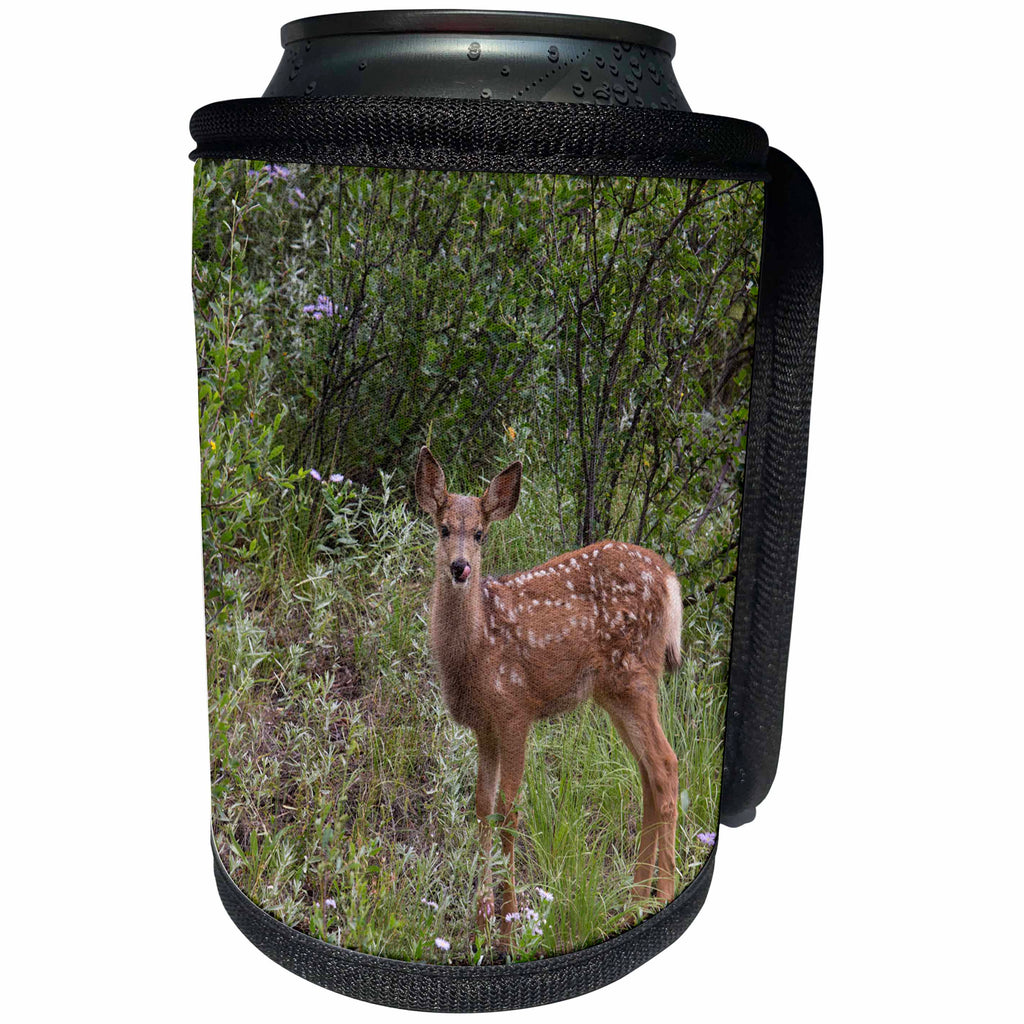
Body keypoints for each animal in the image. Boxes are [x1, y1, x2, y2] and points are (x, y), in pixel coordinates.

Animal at [415, 446, 682, 946]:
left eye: (479, 533)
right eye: (443, 529)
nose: (460, 567)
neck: (478, 650)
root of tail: (671, 580)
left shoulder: (515, 709)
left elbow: (509, 809)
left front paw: (508, 926)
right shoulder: (484, 725)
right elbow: (482, 806)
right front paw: (481, 921)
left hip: (634, 676)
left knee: (666, 763)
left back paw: (661, 896)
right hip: (614, 692)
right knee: (648, 773)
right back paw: (634, 903)